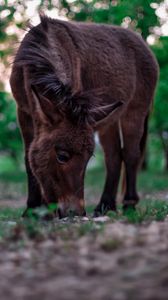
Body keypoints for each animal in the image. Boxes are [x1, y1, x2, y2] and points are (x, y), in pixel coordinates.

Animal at [10, 15, 159, 218]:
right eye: (62, 156)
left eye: (88, 159)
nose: (77, 213)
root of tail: (143, 43)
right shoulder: (24, 112)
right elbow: (28, 158)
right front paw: (33, 210)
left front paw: (40, 211)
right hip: (109, 119)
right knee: (113, 156)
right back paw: (105, 206)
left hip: (135, 111)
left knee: (131, 154)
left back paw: (129, 205)